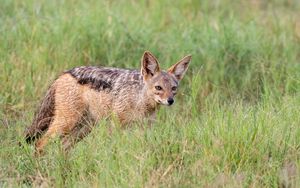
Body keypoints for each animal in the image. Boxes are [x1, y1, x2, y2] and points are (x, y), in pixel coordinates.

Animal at [24, 51, 191, 154]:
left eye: (174, 88)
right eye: (158, 88)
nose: (170, 101)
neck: (139, 100)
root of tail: (64, 73)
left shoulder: (145, 129)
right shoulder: (116, 125)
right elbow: (116, 149)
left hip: (82, 129)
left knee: (62, 148)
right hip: (67, 123)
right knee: (39, 144)